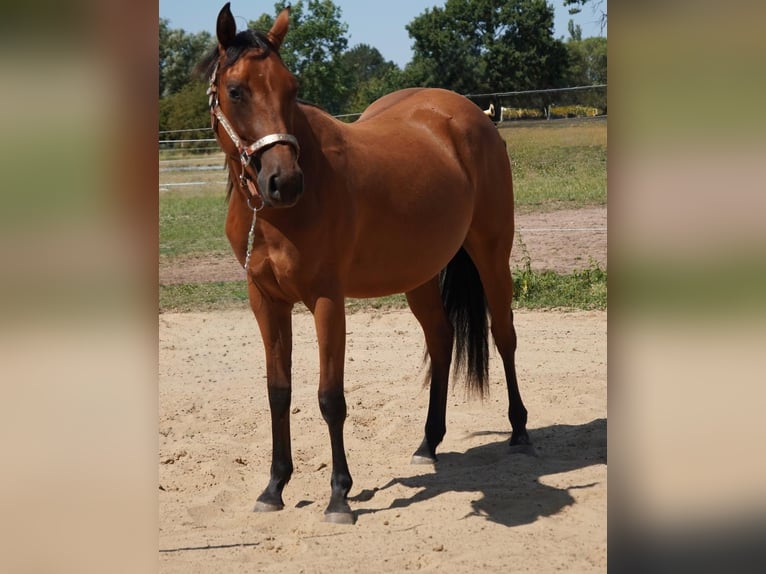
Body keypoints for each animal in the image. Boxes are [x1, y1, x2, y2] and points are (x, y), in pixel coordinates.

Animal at [198, 3, 531, 524]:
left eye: (291, 87)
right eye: (236, 91)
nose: (284, 182)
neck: (280, 214)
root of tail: (471, 115)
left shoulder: (326, 299)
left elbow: (330, 398)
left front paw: (339, 496)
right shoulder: (265, 301)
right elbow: (278, 391)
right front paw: (274, 487)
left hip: (492, 252)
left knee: (504, 335)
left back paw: (519, 431)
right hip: (418, 274)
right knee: (441, 339)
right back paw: (428, 444)